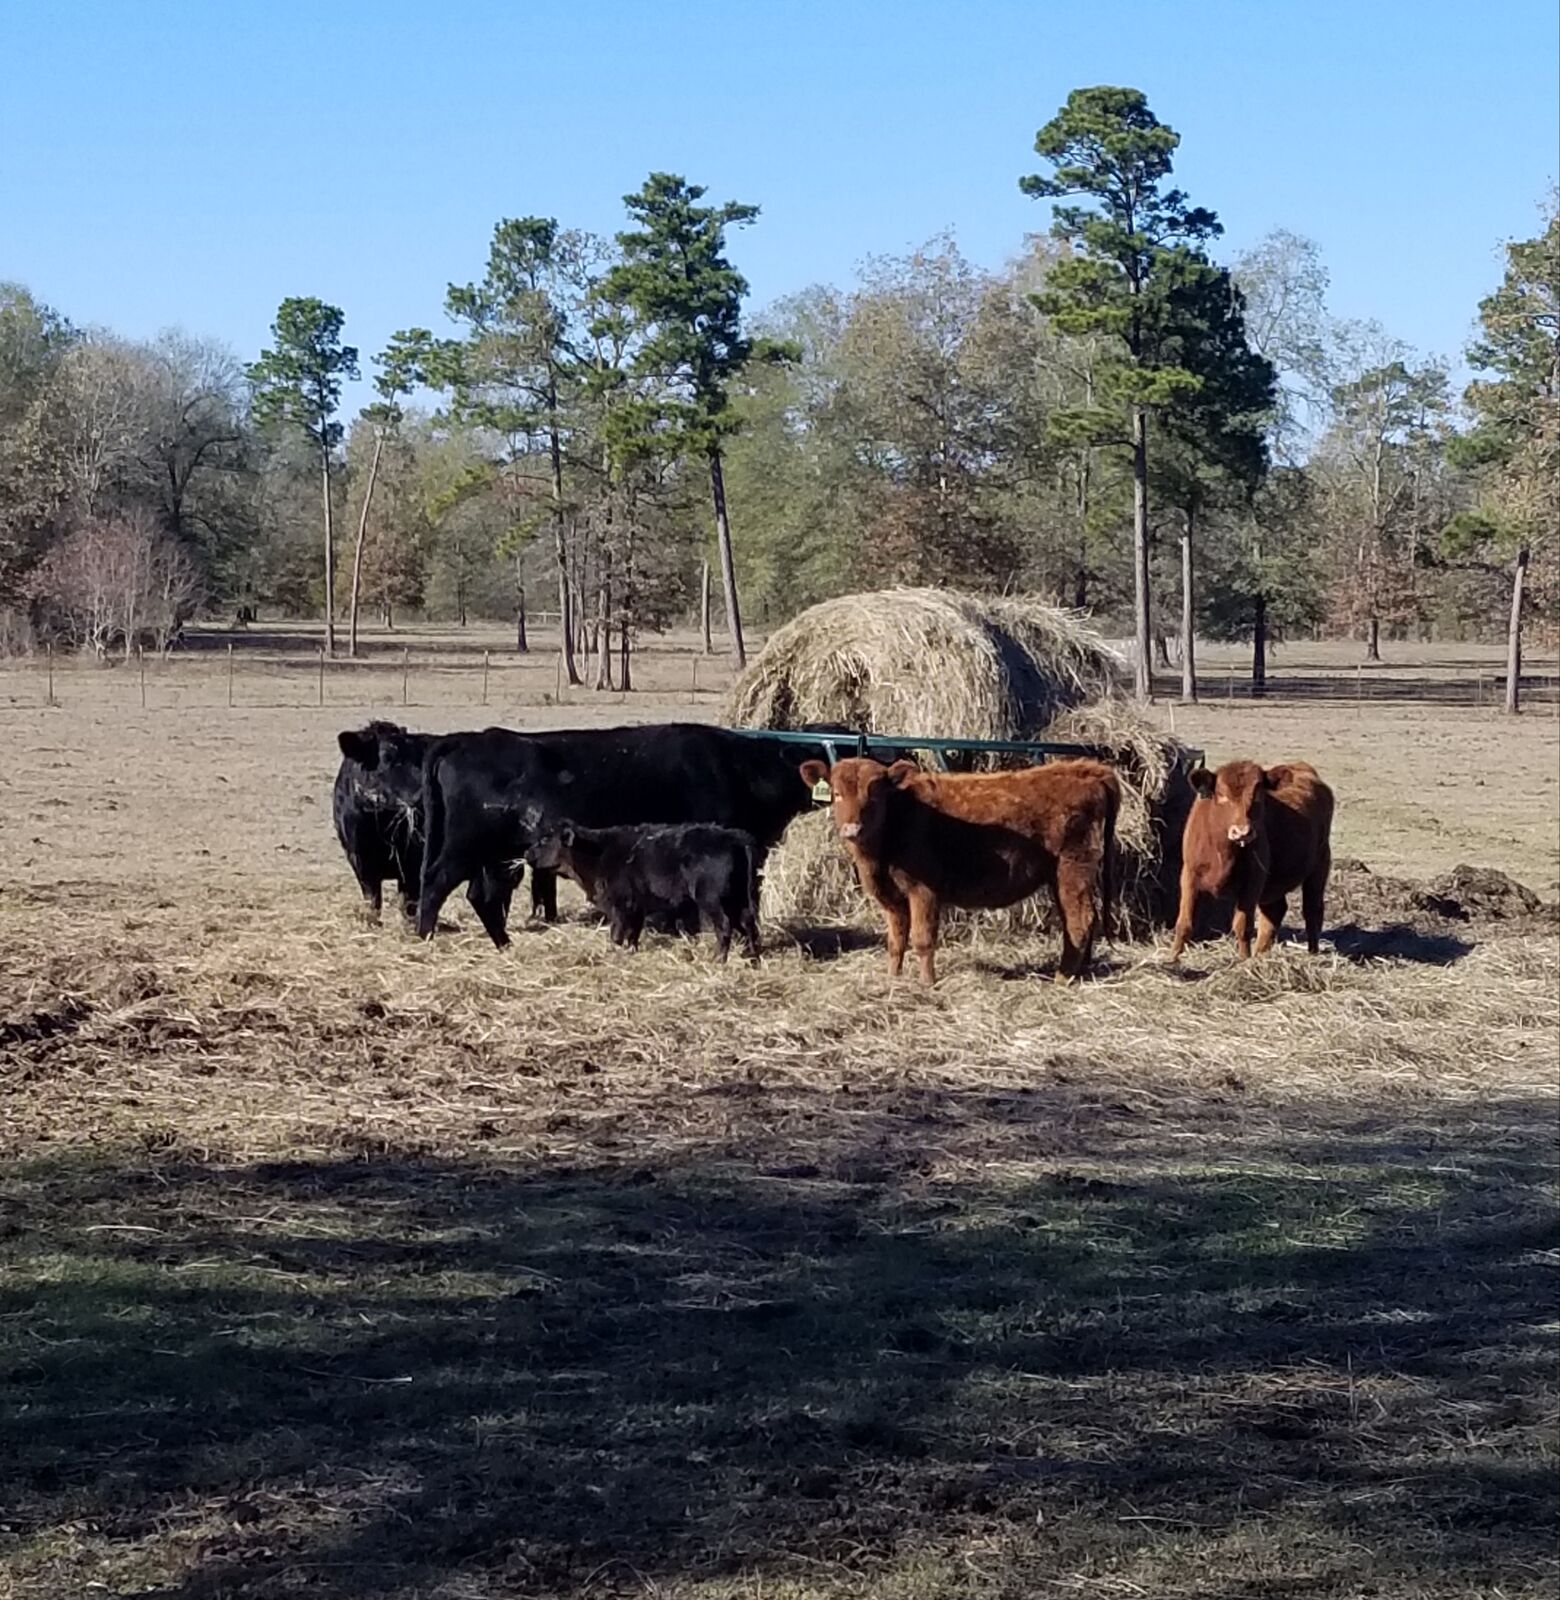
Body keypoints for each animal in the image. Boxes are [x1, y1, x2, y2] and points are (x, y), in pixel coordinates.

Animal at [333, 722, 529, 945]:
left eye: (416, 759)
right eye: (386, 757)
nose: (420, 794)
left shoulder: (412, 864)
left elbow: (409, 901)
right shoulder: (360, 861)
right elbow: (373, 900)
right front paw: (372, 925)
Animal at [415, 723, 835, 946]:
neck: (739, 769)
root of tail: (470, 739)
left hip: (497, 856)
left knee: (482, 896)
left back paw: (504, 943)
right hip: (464, 848)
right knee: (435, 884)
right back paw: (424, 937)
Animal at [526, 821, 761, 962]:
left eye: (545, 840)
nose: (527, 853)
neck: (597, 853)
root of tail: (736, 838)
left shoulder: (620, 905)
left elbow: (617, 934)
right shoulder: (636, 907)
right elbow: (633, 934)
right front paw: (631, 953)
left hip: (712, 899)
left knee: (725, 926)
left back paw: (718, 960)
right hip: (739, 898)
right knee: (748, 923)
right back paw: (751, 957)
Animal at [799, 755, 1120, 986]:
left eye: (875, 795)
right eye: (837, 794)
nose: (852, 829)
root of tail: (1086, 769)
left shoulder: (923, 890)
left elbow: (922, 939)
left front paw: (927, 983)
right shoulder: (892, 898)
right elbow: (896, 941)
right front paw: (893, 979)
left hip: (1073, 867)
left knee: (1080, 920)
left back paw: (1063, 978)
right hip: (1062, 876)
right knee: (1078, 920)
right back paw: (1081, 973)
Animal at [1167, 759, 1334, 962]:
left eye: (1258, 794)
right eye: (1221, 794)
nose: (1242, 832)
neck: (1223, 851)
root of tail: (1302, 767)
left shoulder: (1253, 881)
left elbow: (1243, 926)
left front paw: (1244, 961)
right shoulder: (1189, 875)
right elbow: (1184, 923)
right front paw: (1172, 958)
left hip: (1319, 866)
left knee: (1312, 911)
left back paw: (1312, 954)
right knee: (1275, 911)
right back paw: (1261, 954)